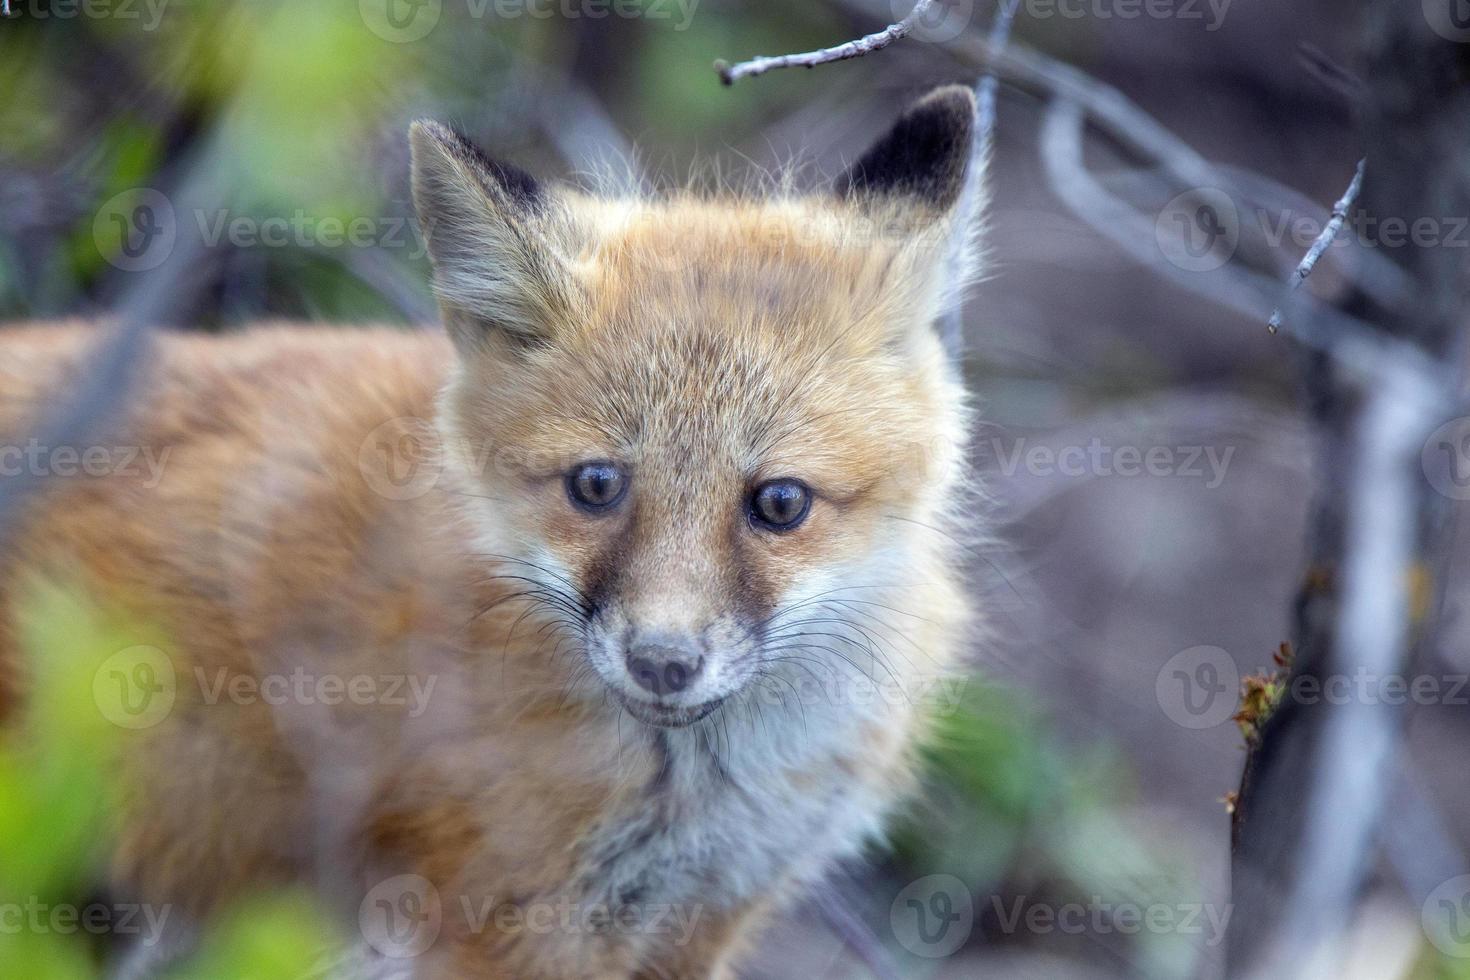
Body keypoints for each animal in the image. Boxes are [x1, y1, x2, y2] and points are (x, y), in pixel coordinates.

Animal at [2, 88, 987, 975]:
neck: (698, 787)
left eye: (780, 503)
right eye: (596, 486)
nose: (662, 662)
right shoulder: (499, 920)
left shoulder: (699, 920)